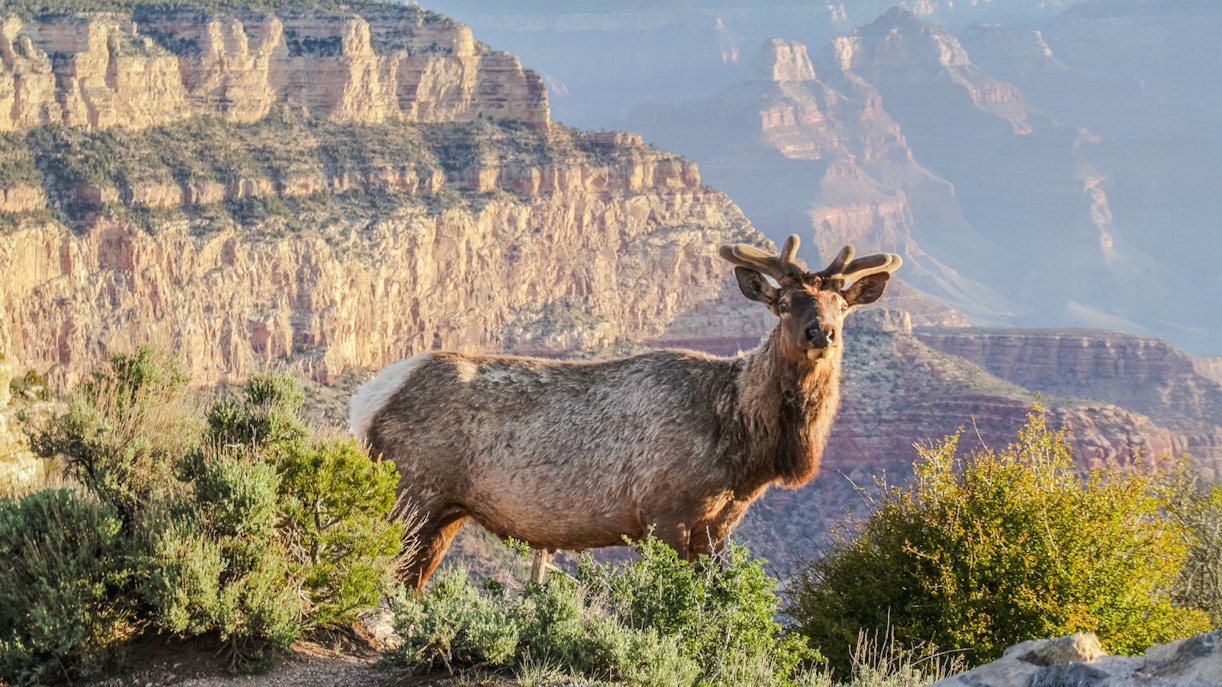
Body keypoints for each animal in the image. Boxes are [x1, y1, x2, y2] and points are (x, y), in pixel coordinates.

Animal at [349, 235, 901, 588]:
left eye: (842, 305)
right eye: (784, 303)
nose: (821, 333)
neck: (745, 446)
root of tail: (366, 399)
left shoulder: (718, 527)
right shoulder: (665, 513)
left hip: (446, 511)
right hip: (410, 491)